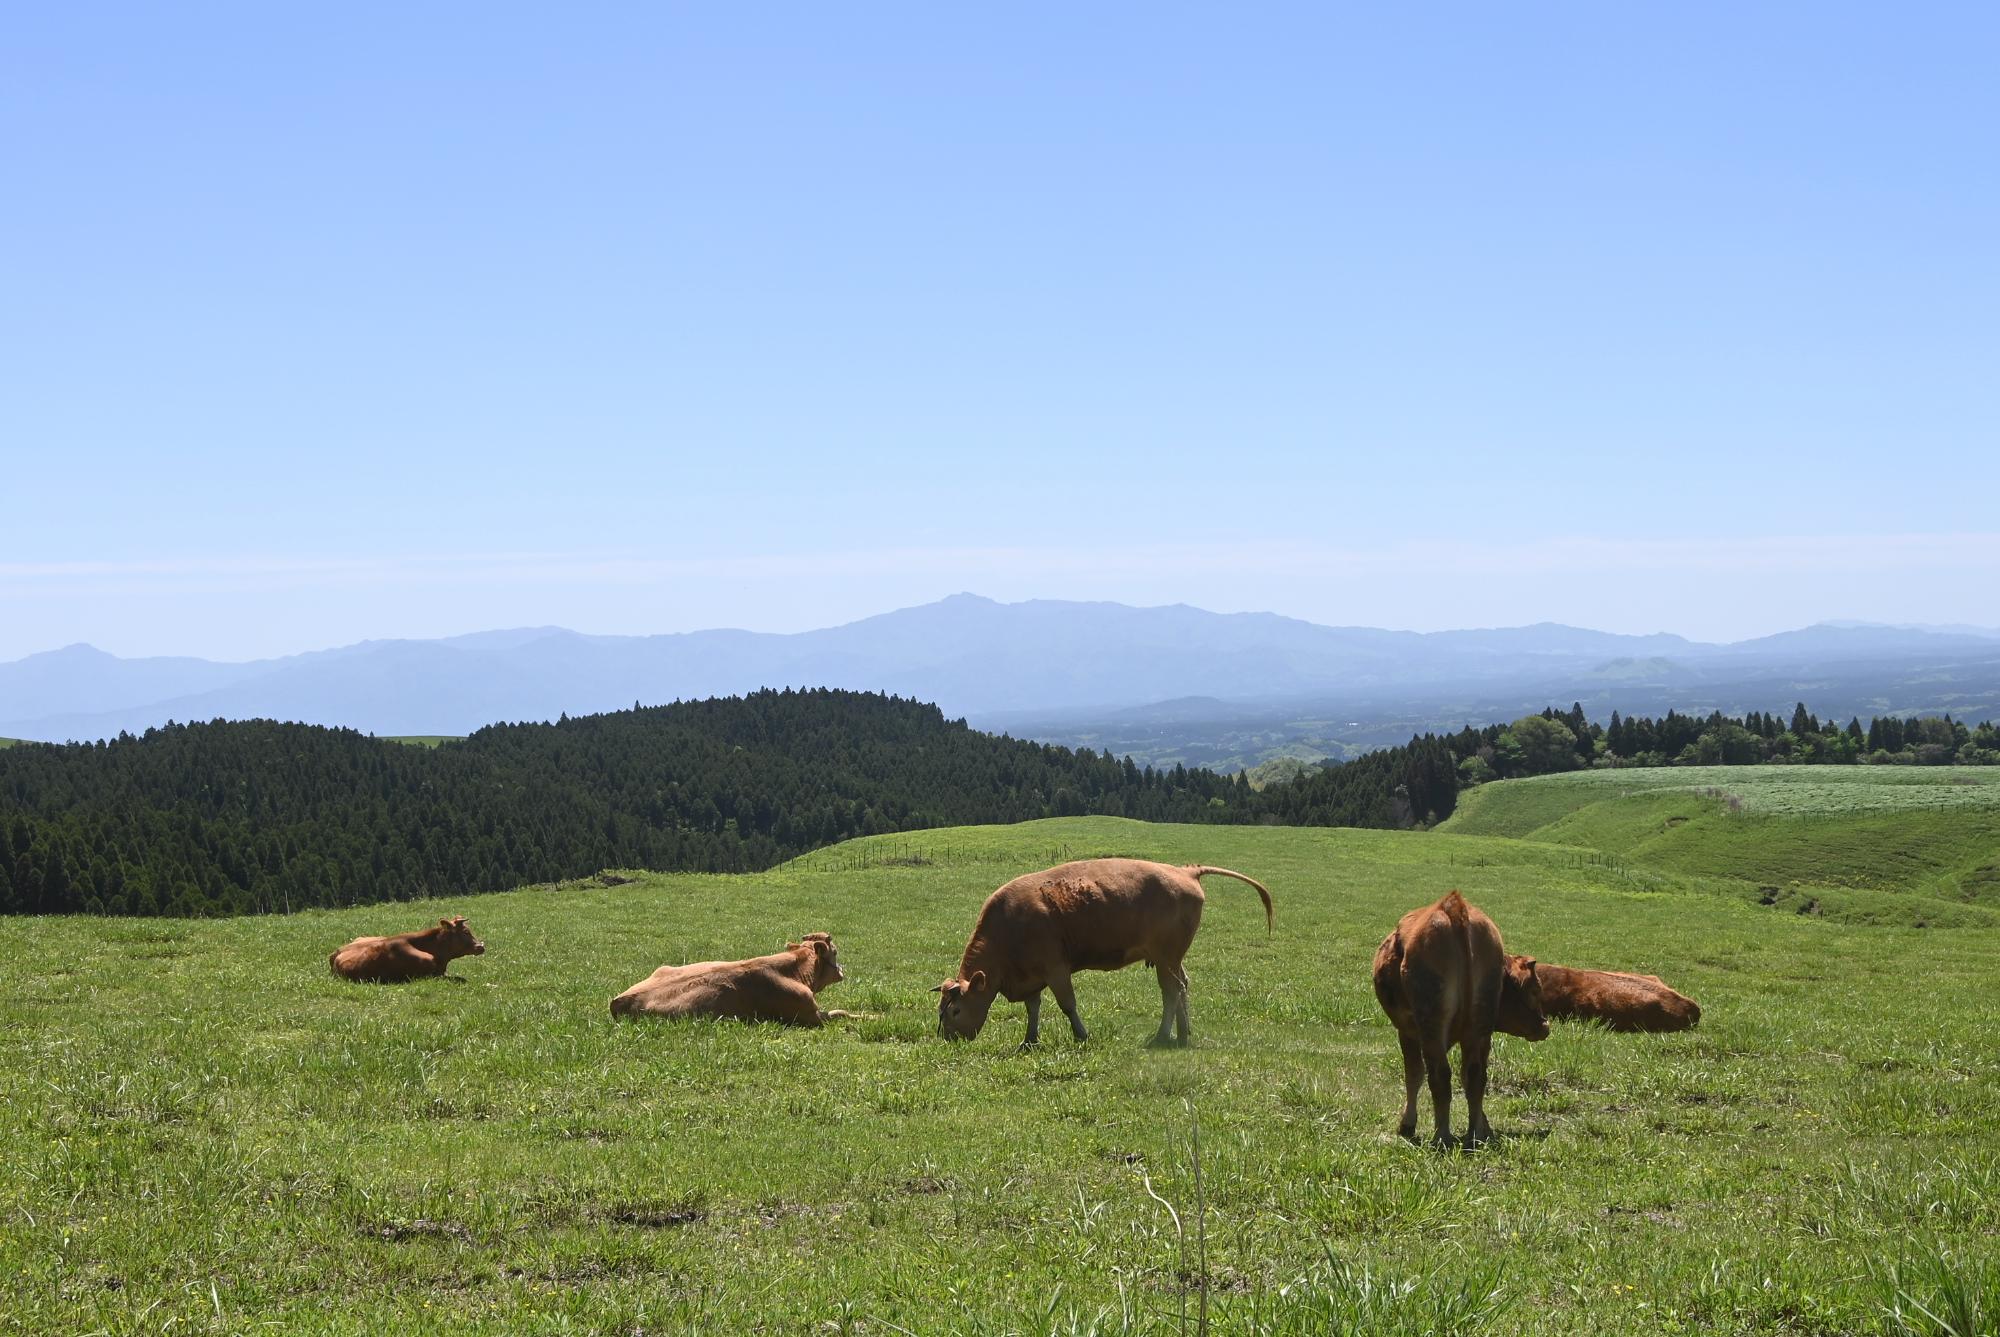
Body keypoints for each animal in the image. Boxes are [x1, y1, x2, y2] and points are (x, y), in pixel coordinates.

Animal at [604, 936, 848, 1032]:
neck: (795, 970)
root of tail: (618, 1000)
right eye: (835, 952)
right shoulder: (809, 1016)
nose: (842, 970)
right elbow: (840, 1013)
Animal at [932, 860, 1272, 1048]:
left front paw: (1081, 1034)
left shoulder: (1056, 969)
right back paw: (1183, 1033)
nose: (948, 1038)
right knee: (1183, 986)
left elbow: (1067, 1005)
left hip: (1166, 959)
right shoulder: (1031, 977)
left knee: (1171, 990)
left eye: (955, 1011)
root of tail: (1185, 871)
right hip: (1173, 959)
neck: (1008, 926)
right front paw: (1029, 1040)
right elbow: (1033, 1008)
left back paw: (1164, 1036)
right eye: (941, 1011)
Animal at [1368, 888, 1552, 1152]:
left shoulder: (1408, 1032)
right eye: (1535, 989)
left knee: (1440, 1075)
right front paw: (1485, 1127)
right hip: (1478, 1025)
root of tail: (1454, 909)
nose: (1544, 1026)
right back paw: (1474, 1135)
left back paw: (1441, 1136)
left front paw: (1407, 1124)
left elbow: (1414, 1074)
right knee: (1475, 1075)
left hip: (1431, 1025)